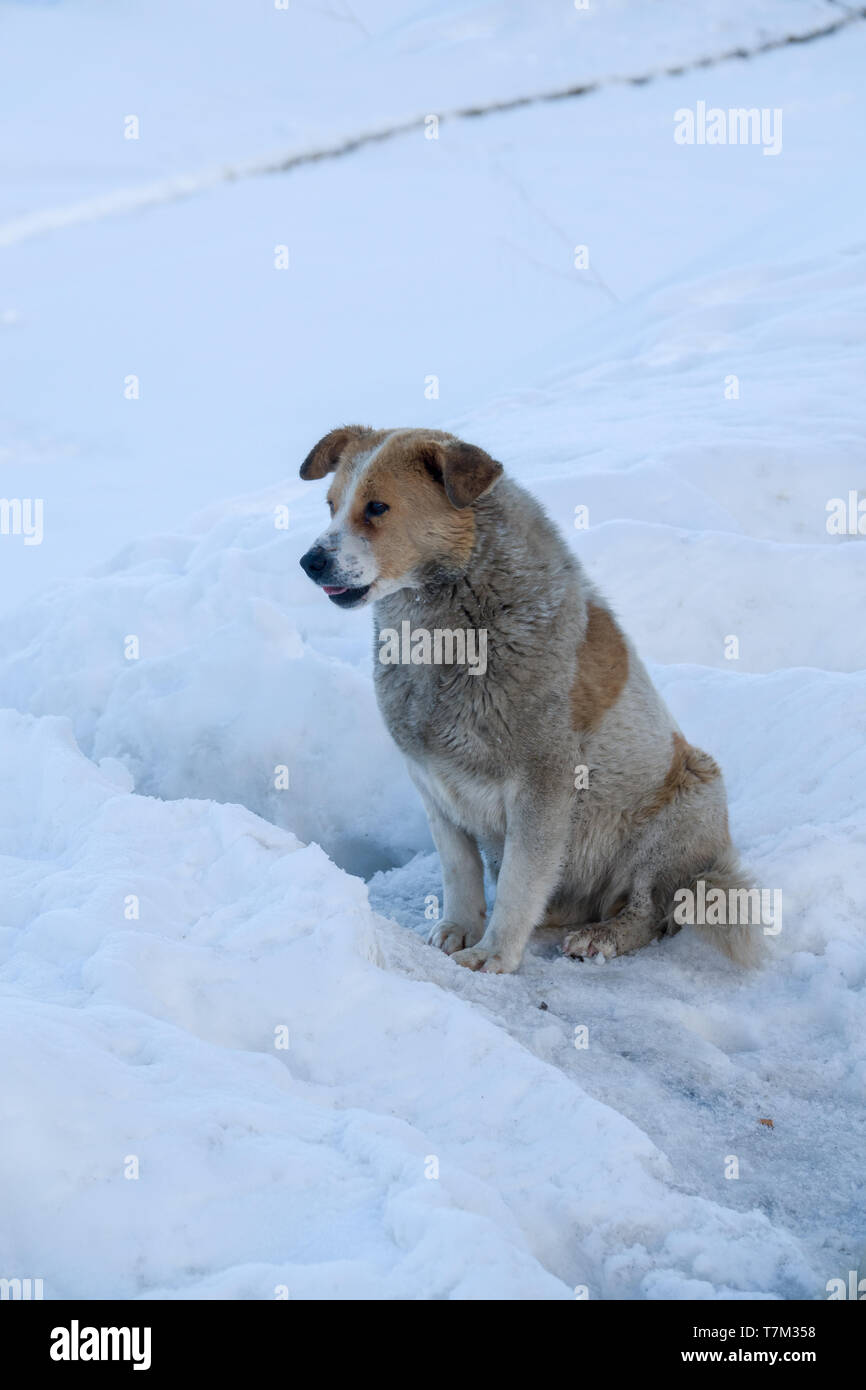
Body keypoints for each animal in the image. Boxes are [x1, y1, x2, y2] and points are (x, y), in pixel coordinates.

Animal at [300, 428, 756, 973]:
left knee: (649, 909)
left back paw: (602, 936)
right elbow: (460, 870)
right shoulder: (432, 781)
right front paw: (458, 929)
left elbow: (521, 879)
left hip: (687, 801)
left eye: (376, 506)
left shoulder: (544, 783)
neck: (453, 628)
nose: (310, 562)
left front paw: (493, 954)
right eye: (330, 505)